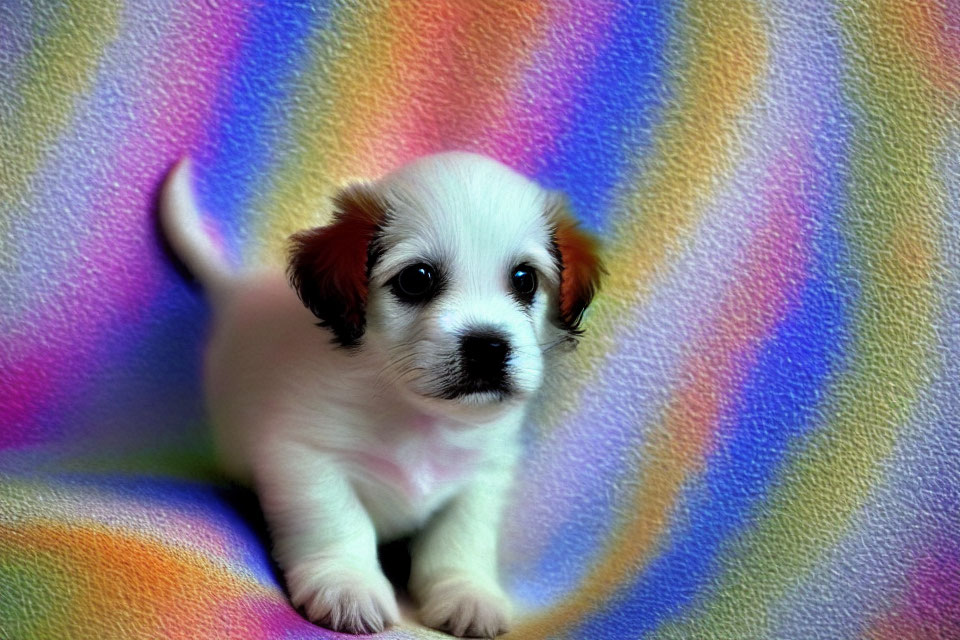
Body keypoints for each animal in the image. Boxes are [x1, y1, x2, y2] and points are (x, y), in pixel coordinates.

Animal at [161, 152, 604, 636]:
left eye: (525, 279)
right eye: (417, 279)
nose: (488, 347)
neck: (418, 419)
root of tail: (237, 292)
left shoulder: (484, 475)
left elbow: (461, 538)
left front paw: (466, 591)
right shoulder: (303, 456)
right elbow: (338, 520)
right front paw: (347, 582)